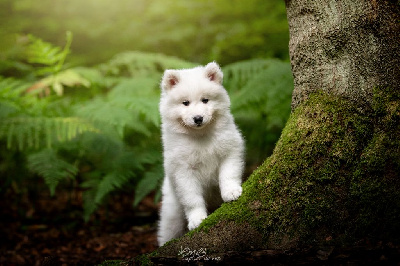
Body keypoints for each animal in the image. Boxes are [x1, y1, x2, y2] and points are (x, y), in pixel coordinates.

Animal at [156, 61, 244, 245]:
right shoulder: (183, 170)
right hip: (172, 214)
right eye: (185, 103)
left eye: (205, 100)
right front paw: (197, 219)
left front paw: (231, 192)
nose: (198, 118)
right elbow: (192, 198)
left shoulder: (230, 150)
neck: (200, 135)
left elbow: (228, 175)